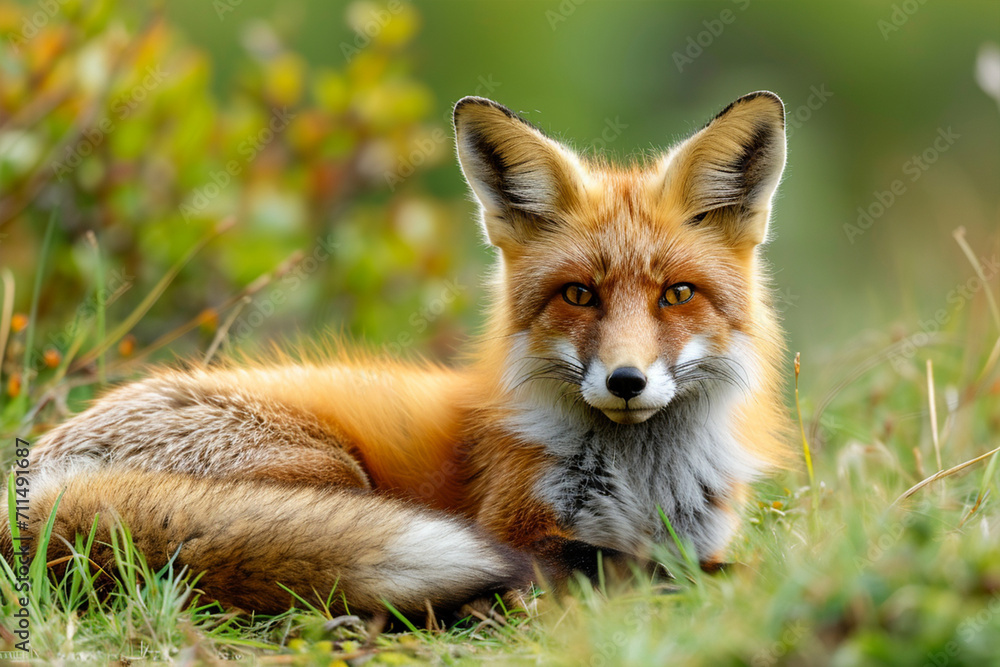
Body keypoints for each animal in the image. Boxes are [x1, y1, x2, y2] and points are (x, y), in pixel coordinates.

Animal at [3, 91, 791, 620]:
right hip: (322, 471)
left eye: (676, 294)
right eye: (579, 294)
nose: (626, 381)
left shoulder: (692, 532)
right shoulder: (521, 530)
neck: (641, 485)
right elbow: (672, 569)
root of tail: (39, 475)